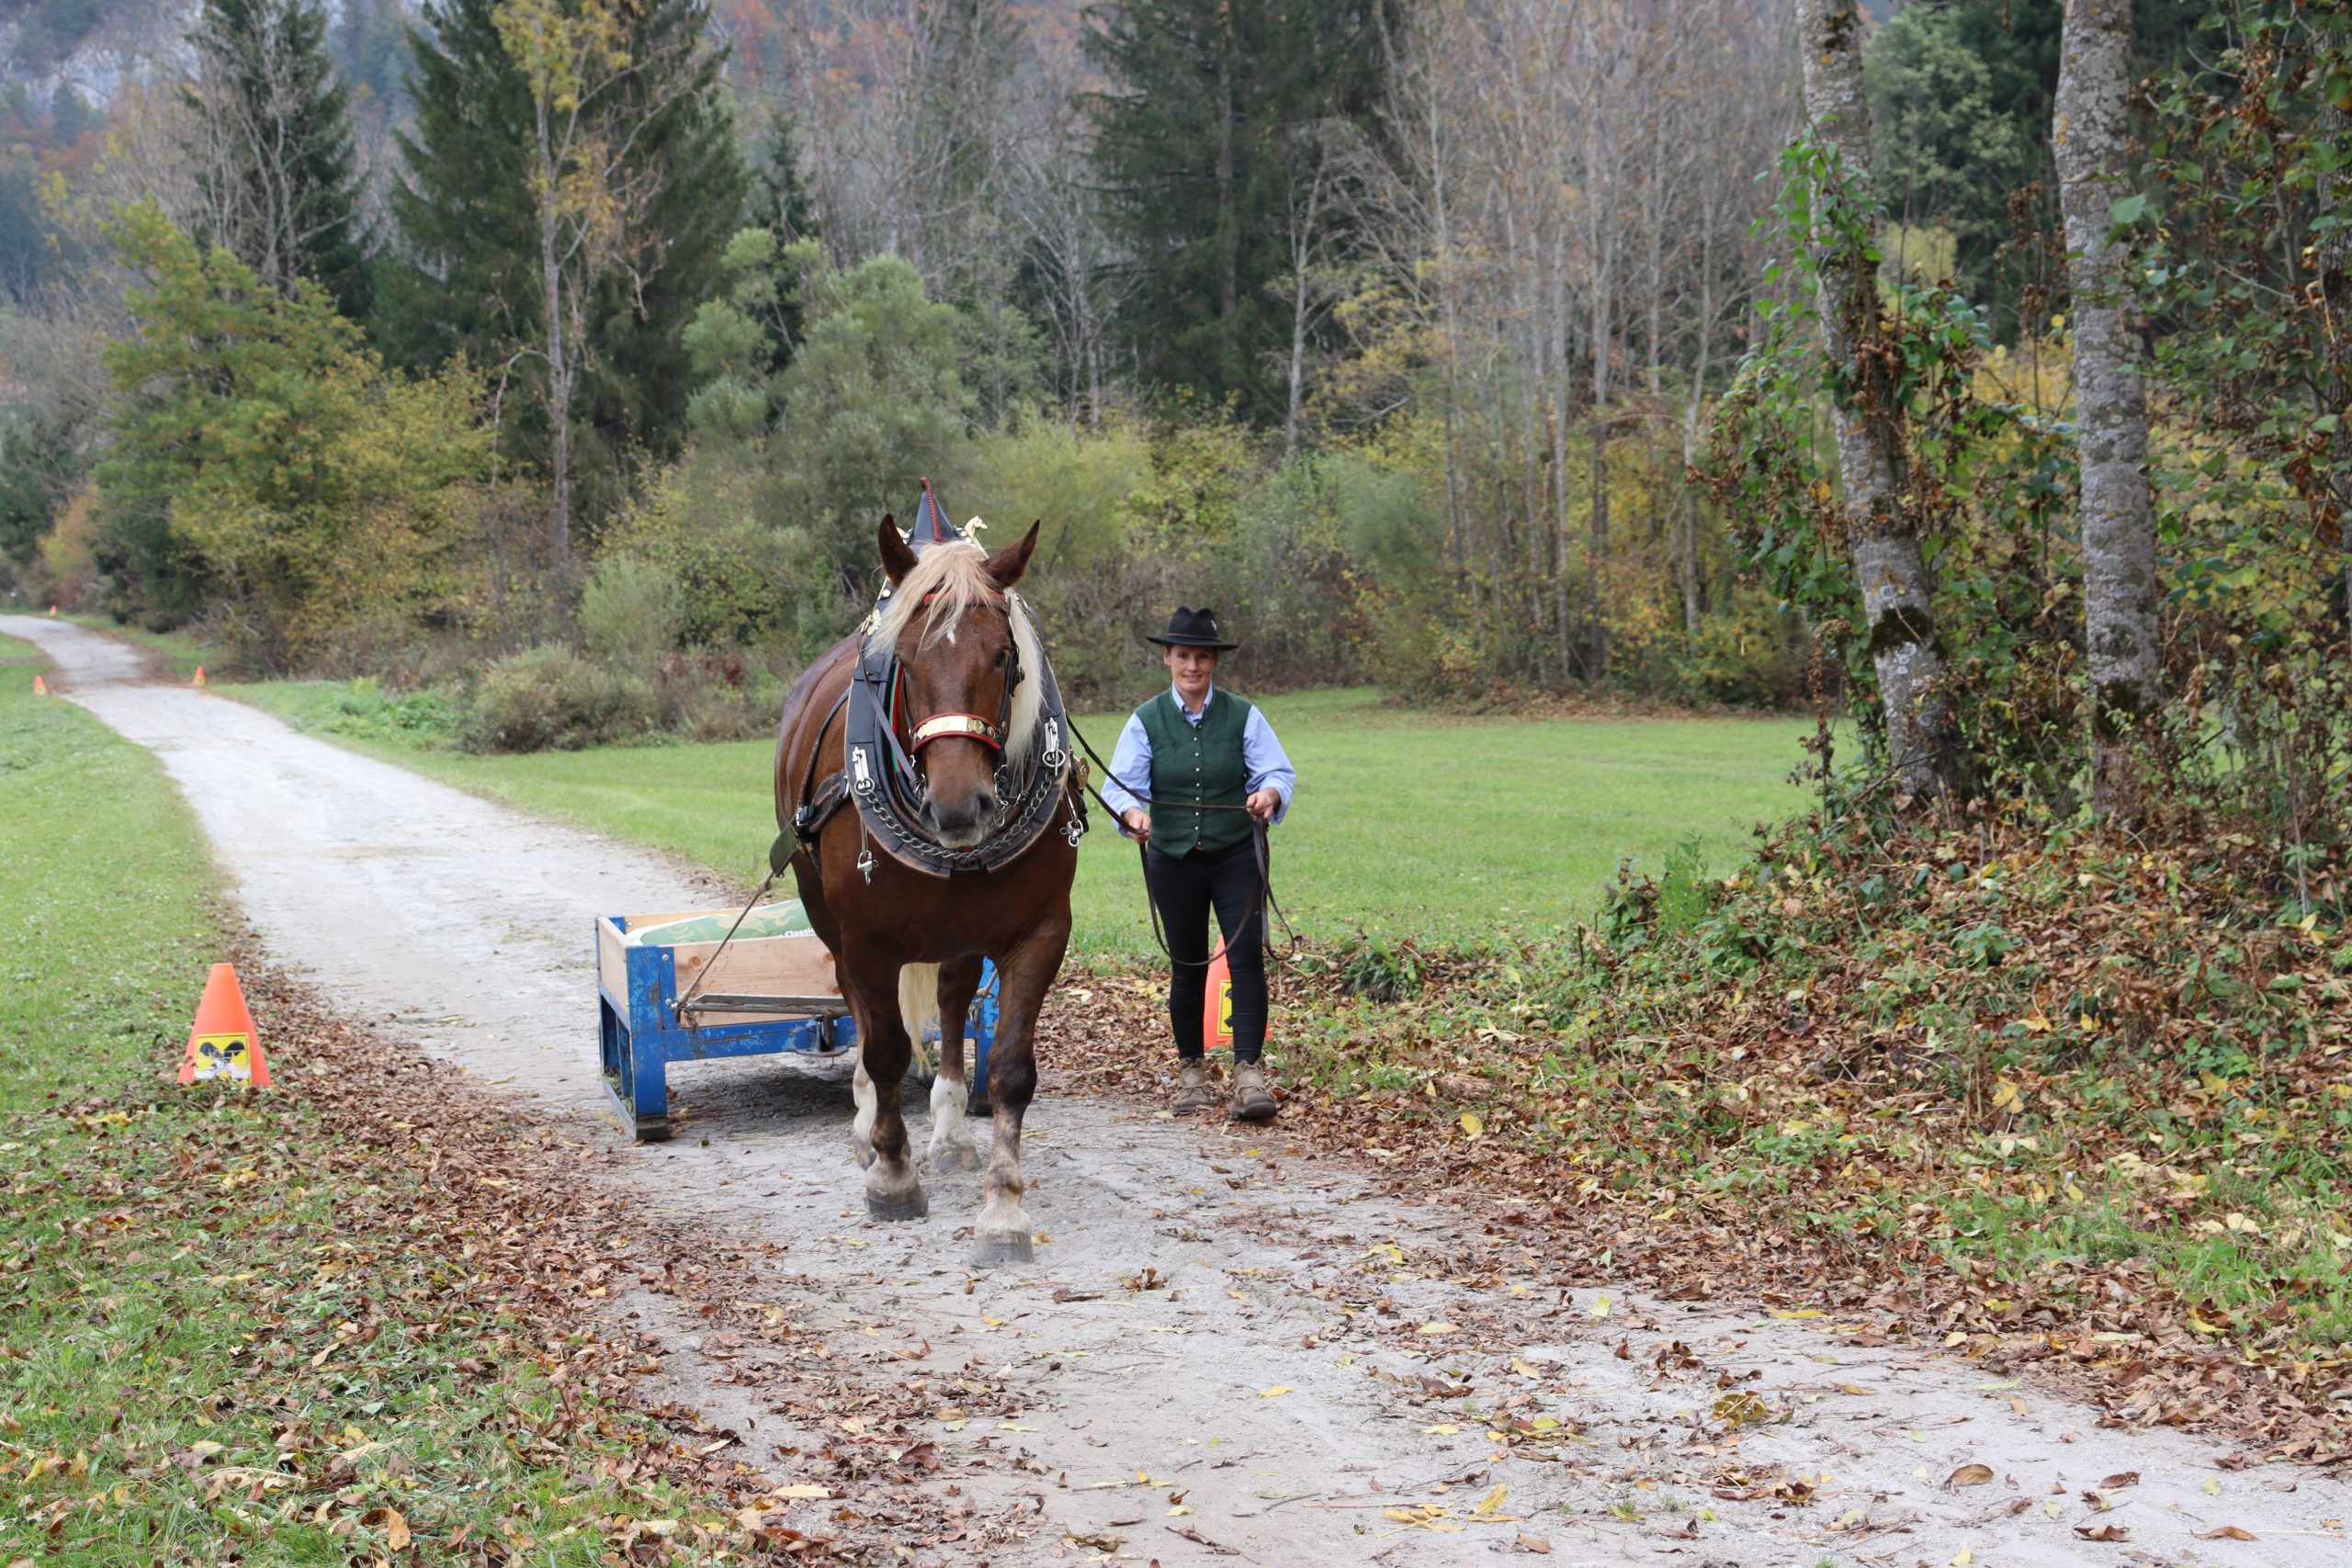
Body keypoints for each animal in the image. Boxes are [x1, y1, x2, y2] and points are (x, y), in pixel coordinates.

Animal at [766, 522, 1077, 1269]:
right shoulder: (869, 939)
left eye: (1004, 656)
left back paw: (949, 1132)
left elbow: (1011, 1070)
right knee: (857, 1006)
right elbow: (885, 1050)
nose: (960, 806)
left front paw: (1003, 1208)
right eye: (904, 659)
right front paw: (892, 1175)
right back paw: (865, 1123)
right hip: (829, 919)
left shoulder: (1041, 932)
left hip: (962, 931)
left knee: (955, 998)